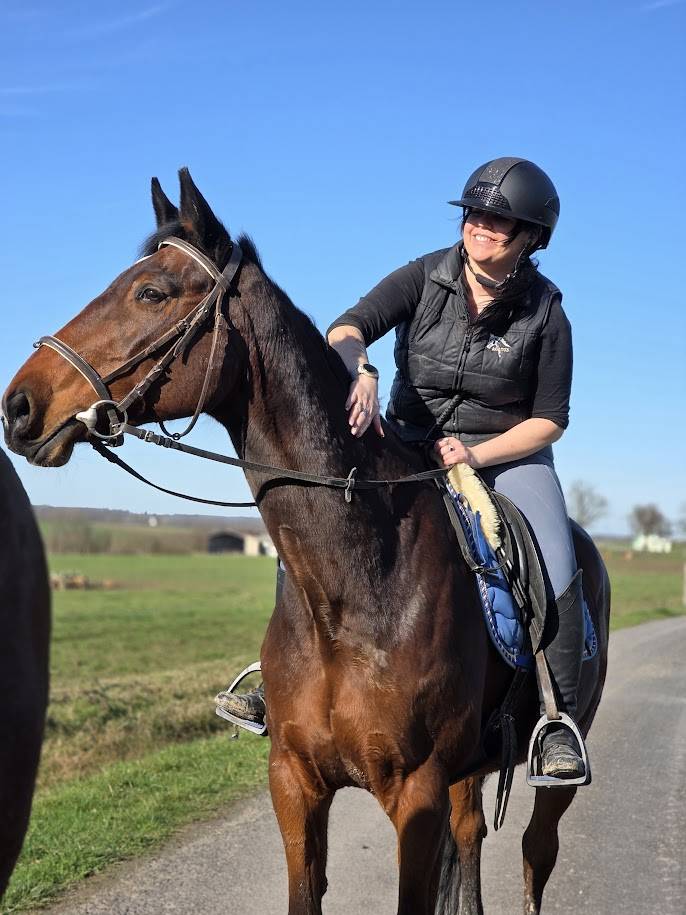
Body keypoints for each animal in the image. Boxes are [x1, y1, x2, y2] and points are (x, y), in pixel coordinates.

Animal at [2, 168, 609, 915]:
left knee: (534, 854)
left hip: (543, 773)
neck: (358, 580)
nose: (19, 405)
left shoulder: (417, 793)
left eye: (151, 292)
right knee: (471, 838)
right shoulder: (294, 782)